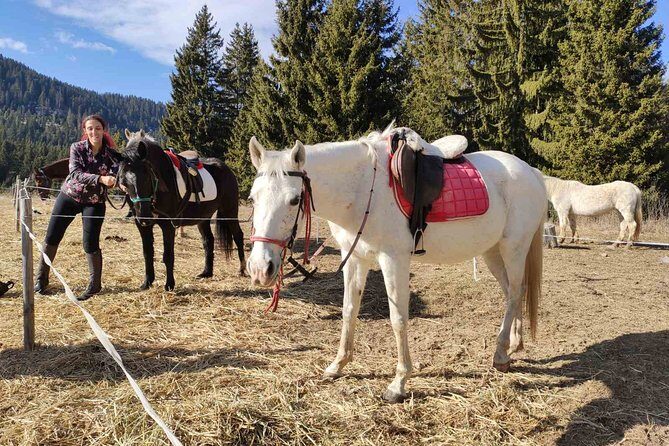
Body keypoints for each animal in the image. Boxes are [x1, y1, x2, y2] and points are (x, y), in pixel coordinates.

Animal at [118, 130, 246, 290]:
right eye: (124, 181)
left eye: (147, 177)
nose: (144, 215)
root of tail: (227, 169)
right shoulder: (142, 226)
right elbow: (147, 252)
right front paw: (147, 282)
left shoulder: (168, 225)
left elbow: (168, 255)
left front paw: (169, 285)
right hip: (203, 218)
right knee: (208, 240)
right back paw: (206, 272)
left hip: (229, 212)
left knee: (238, 236)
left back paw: (242, 269)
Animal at [246, 125, 547, 402]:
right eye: (252, 198)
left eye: (294, 199)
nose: (260, 269)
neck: (362, 189)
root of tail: (531, 172)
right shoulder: (355, 259)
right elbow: (349, 310)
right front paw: (338, 365)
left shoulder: (393, 260)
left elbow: (398, 318)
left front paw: (398, 383)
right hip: (492, 252)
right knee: (512, 293)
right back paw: (513, 346)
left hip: (514, 248)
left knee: (515, 292)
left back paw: (500, 355)